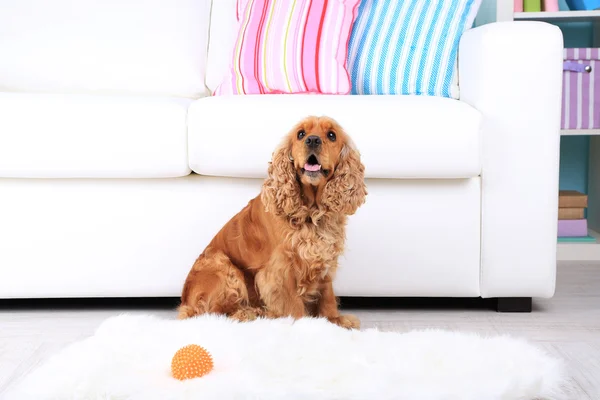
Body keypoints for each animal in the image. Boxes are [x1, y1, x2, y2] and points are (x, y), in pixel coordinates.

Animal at [176, 115, 368, 328]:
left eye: (332, 135)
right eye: (301, 134)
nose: (312, 140)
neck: (311, 210)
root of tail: (185, 301)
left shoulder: (325, 257)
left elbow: (327, 294)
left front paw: (334, 320)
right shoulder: (280, 269)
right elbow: (293, 305)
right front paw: (301, 324)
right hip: (223, 266)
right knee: (213, 313)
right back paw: (249, 313)